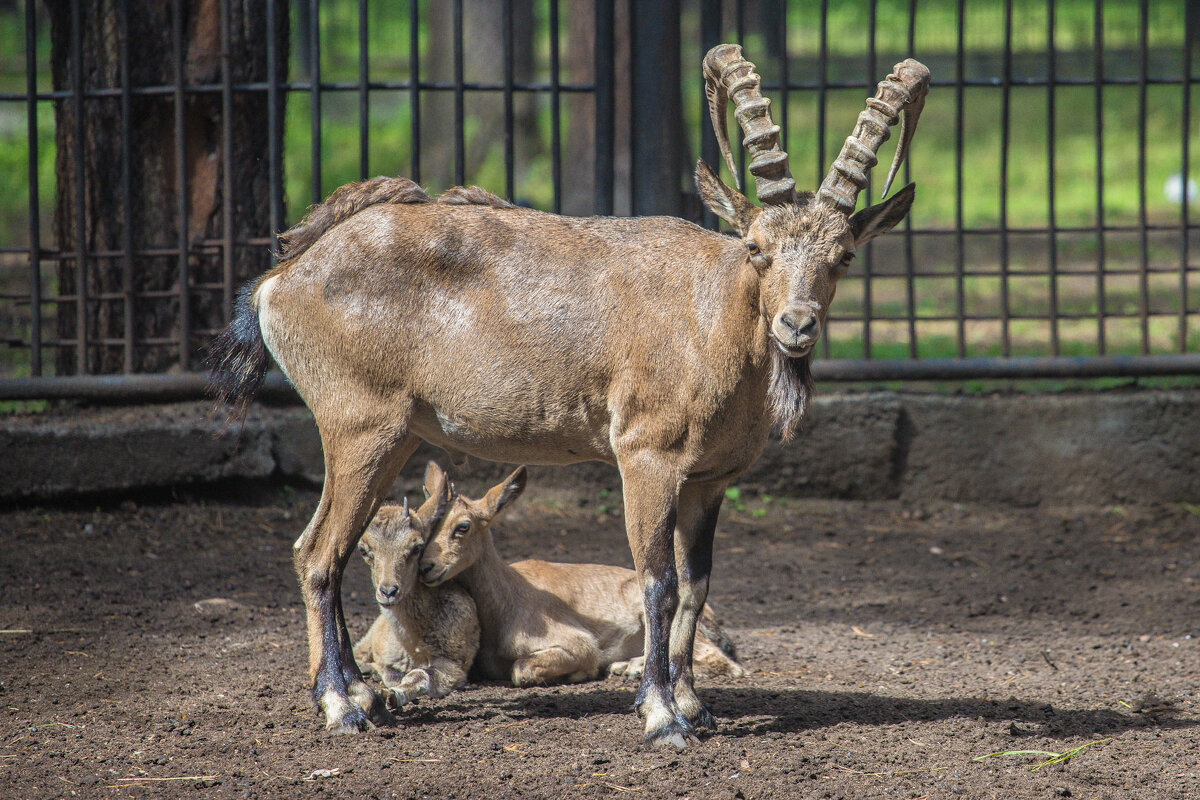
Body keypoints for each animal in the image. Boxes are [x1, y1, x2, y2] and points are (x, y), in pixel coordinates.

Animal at [350, 474, 477, 705]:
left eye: (417, 547)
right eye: (363, 549)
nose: (388, 591)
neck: (413, 646)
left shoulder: (455, 663)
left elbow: (419, 674)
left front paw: (393, 695)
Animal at [417, 462, 744, 690]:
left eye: (463, 526)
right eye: (423, 521)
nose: (425, 567)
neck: (501, 610)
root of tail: (715, 621)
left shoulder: (579, 642)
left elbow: (521, 669)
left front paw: (583, 672)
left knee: (725, 663)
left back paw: (630, 668)